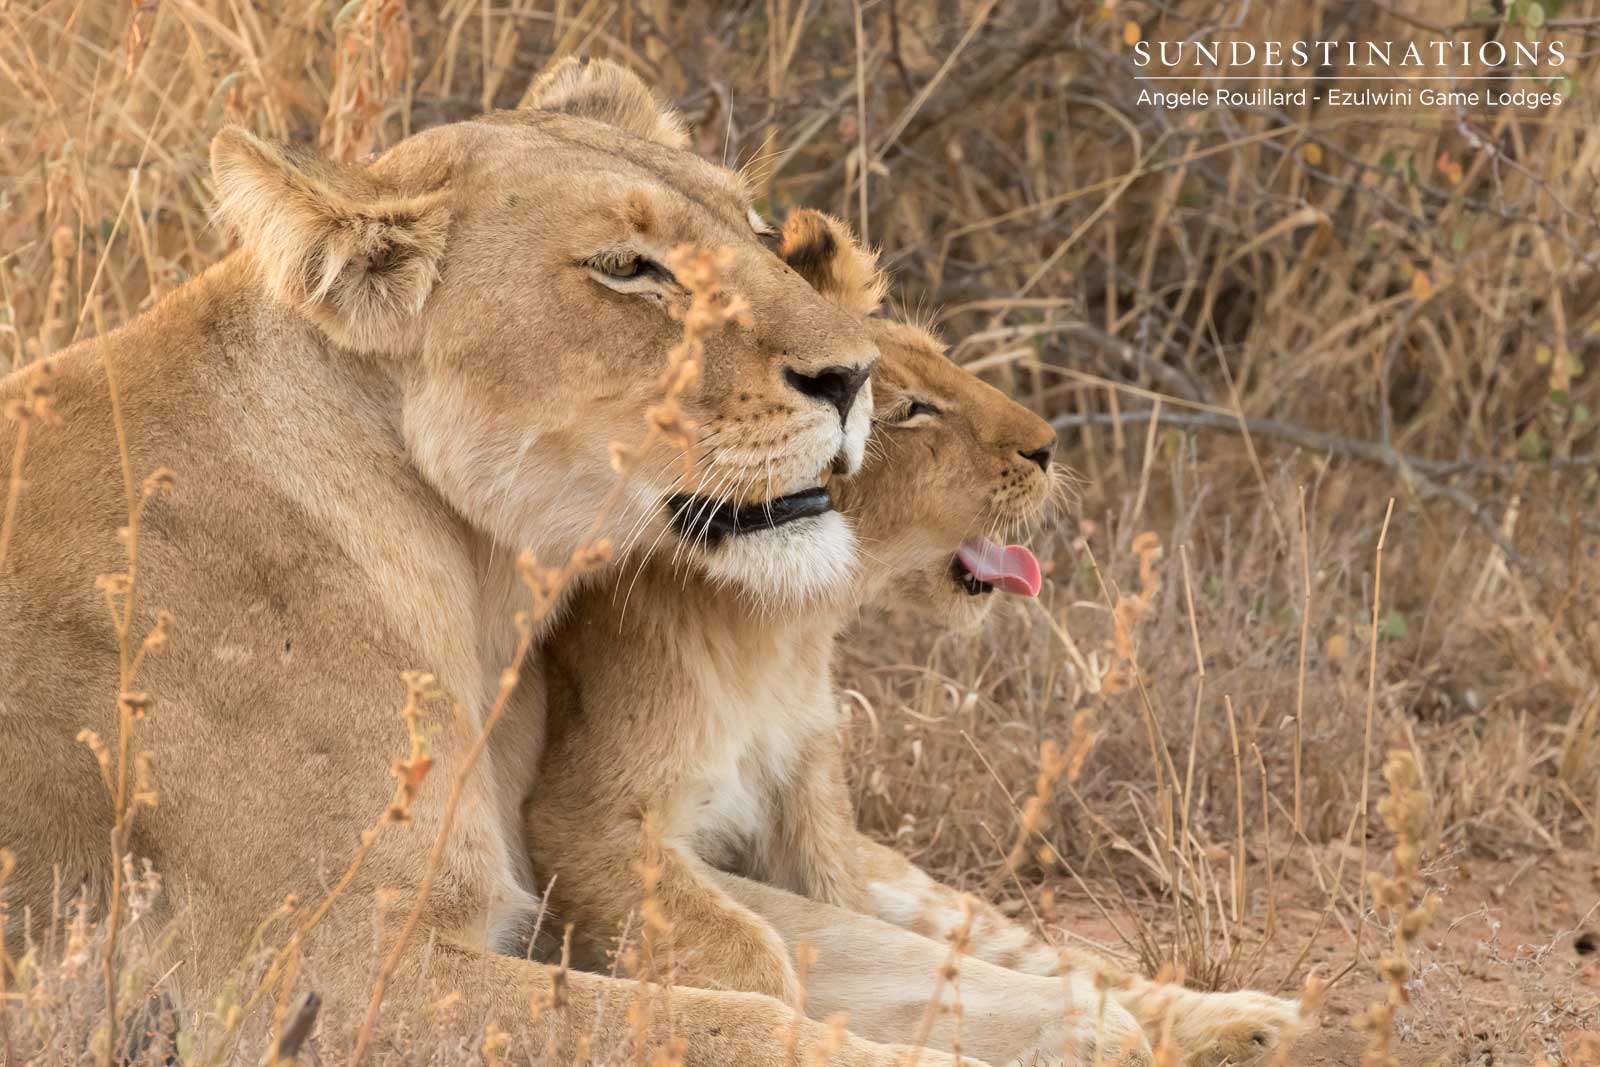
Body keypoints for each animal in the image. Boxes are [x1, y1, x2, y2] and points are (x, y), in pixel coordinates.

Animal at [0, 58, 1033, 1066]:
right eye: (629, 269)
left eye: (756, 232)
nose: (856, 377)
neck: (473, 577)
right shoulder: (313, 978)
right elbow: (748, 1021)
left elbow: (901, 965)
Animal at [528, 211, 1304, 1067]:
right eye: (911, 411)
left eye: (946, 361)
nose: (1049, 445)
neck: (776, 629)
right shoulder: (580, 820)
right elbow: (745, 955)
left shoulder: (813, 815)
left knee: (1066, 961)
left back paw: (1252, 1019)